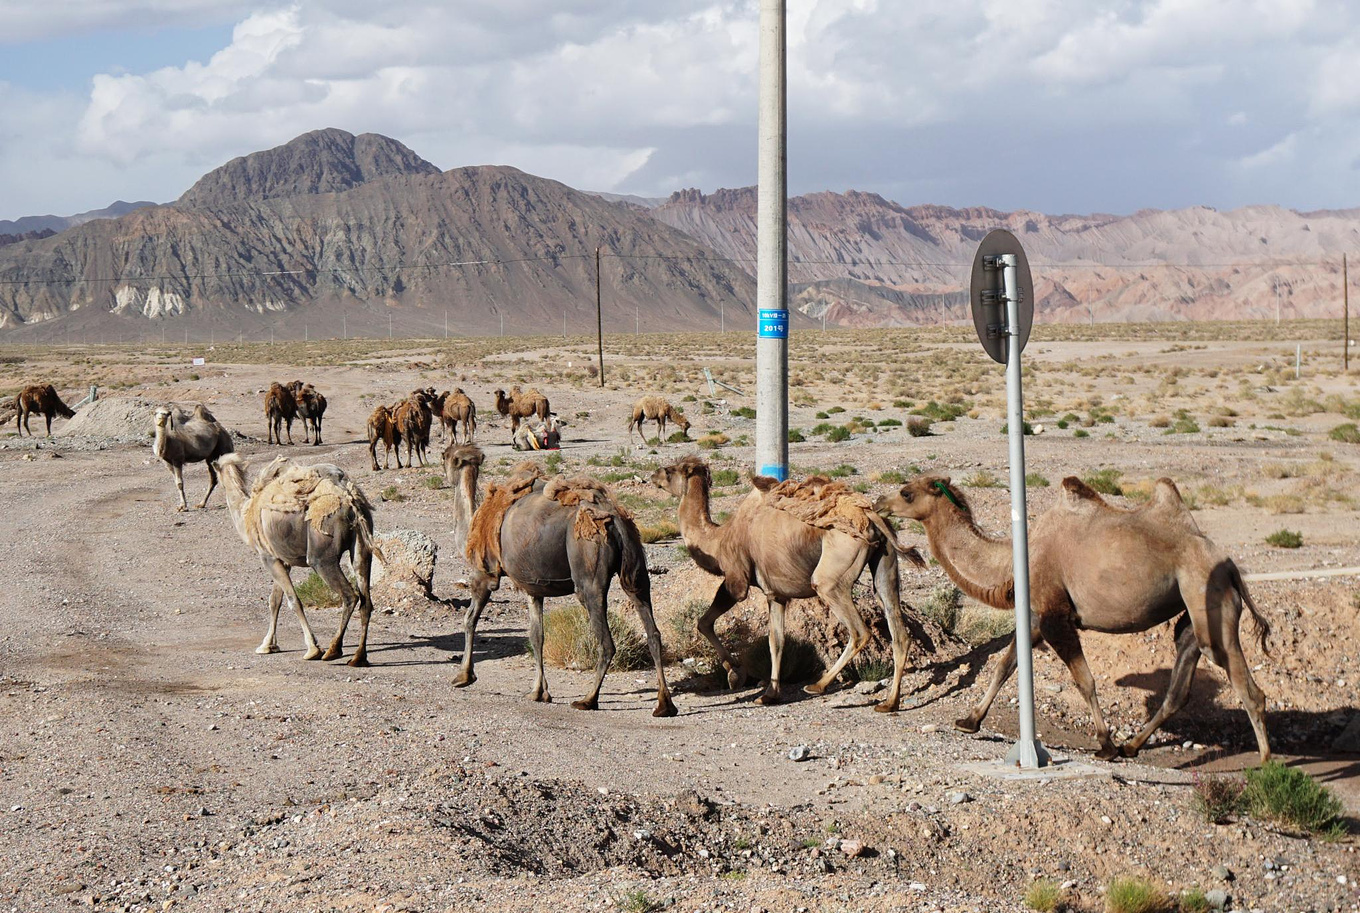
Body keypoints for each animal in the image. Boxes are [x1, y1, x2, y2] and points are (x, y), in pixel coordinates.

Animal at [217, 454, 380, 664]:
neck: (246, 513)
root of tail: (349, 498)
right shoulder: (282, 560)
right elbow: (275, 600)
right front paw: (267, 645)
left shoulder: (268, 557)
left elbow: (293, 600)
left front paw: (312, 649)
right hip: (362, 546)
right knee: (366, 599)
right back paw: (359, 657)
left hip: (321, 556)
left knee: (349, 595)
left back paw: (333, 650)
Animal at [443, 446, 677, 718]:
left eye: (445, 456)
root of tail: (616, 520)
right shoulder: (533, 587)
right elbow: (537, 635)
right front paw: (538, 692)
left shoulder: (485, 573)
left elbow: (470, 619)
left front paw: (464, 677)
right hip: (635, 567)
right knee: (652, 629)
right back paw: (664, 704)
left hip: (587, 566)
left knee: (605, 640)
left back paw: (588, 700)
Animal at [647, 459, 924, 712]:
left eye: (670, 470)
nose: (653, 475)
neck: (718, 539)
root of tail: (869, 515)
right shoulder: (775, 594)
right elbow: (776, 641)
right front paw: (769, 694)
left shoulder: (736, 580)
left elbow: (704, 622)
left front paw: (736, 675)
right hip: (885, 563)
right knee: (898, 629)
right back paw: (889, 703)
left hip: (832, 577)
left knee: (859, 631)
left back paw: (818, 685)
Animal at [875, 476, 1267, 761]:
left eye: (906, 492)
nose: (879, 502)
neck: (1016, 558)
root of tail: (1229, 565)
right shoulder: (1035, 617)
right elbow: (1004, 666)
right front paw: (969, 721)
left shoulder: (1055, 617)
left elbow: (1085, 681)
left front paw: (1106, 745)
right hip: (1193, 617)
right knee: (1178, 687)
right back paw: (1133, 745)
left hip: (1207, 596)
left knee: (1249, 690)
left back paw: (1265, 767)